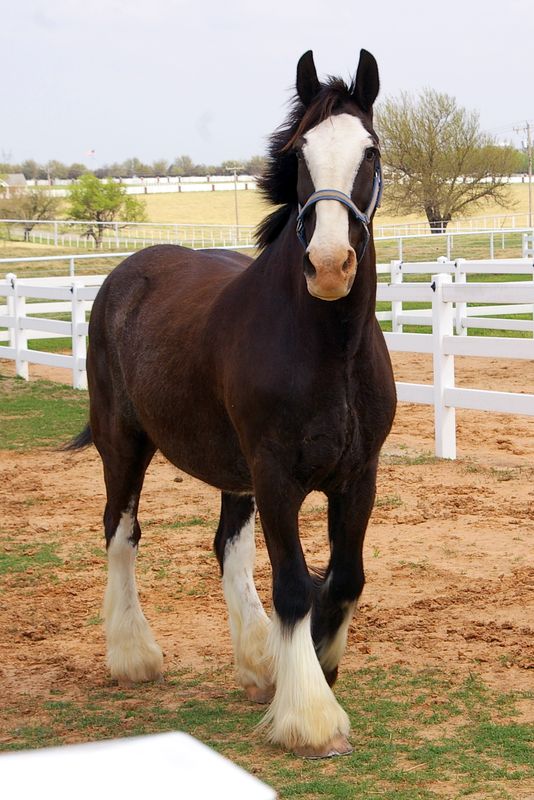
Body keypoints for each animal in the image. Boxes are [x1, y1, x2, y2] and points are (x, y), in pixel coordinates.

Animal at [68, 48, 396, 758]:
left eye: (371, 151)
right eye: (300, 152)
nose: (330, 265)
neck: (328, 346)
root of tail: (124, 275)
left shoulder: (358, 476)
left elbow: (344, 579)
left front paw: (315, 667)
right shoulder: (276, 475)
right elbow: (295, 585)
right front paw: (311, 716)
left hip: (234, 473)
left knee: (228, 546)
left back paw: (258, 662)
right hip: (123, 444)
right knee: (121, 532)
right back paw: (133, 657)